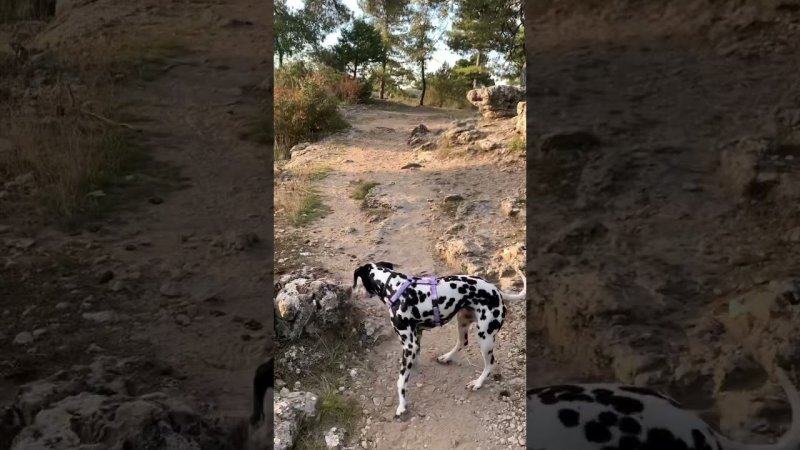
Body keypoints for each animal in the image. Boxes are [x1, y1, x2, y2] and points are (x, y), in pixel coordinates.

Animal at [354, 262, 528, 416]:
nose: (360, 294)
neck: (395, 287)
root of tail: (496, 290)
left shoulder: (409, 344)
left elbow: (401, 381)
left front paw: (402, 406)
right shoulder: (416, 336)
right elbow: (414, 357)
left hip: (485, 336)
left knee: (490, 363)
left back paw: (477, 383)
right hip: (463, 321)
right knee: (462, 342)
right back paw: (446, 357)